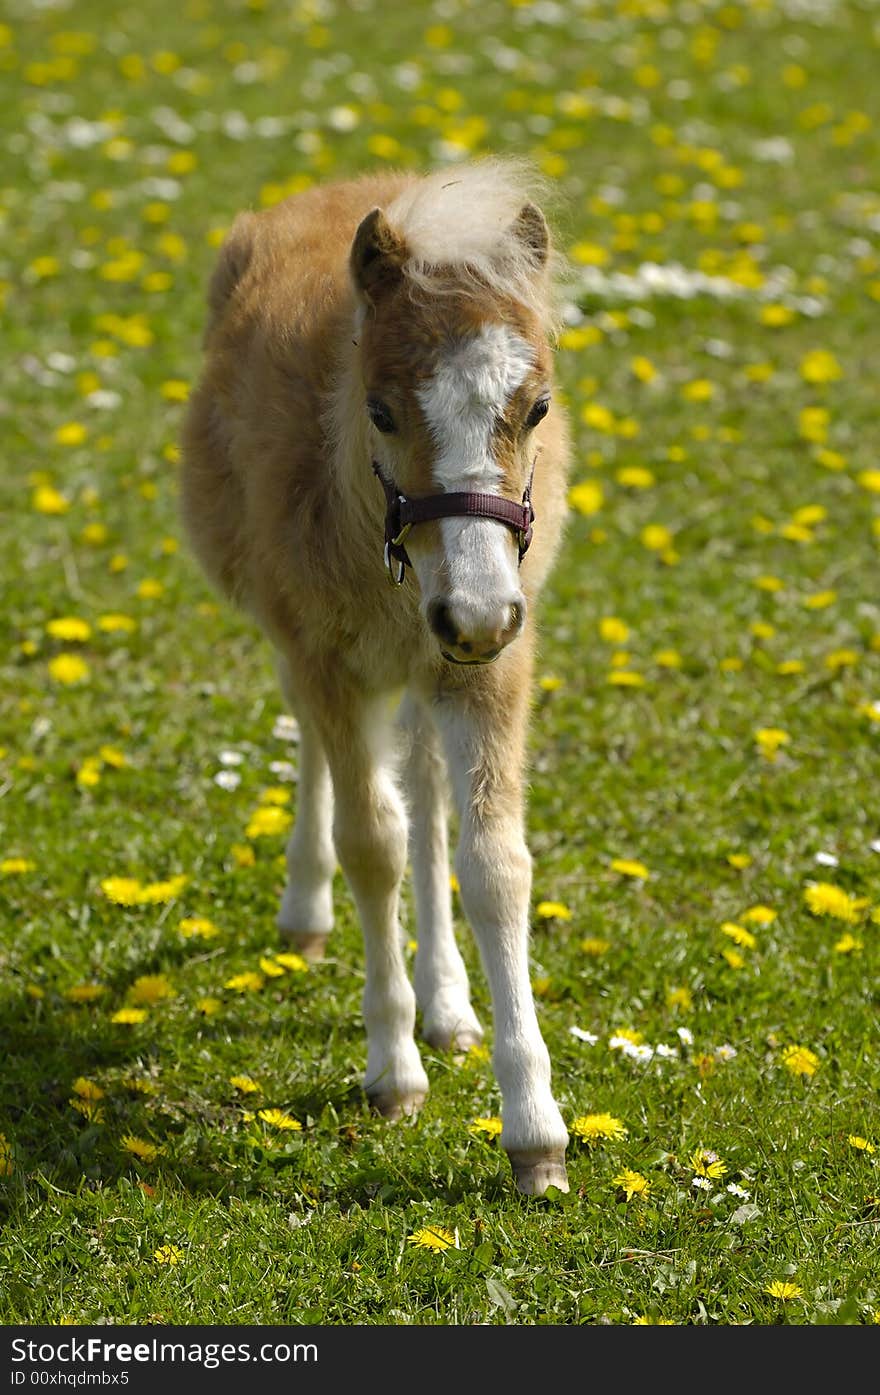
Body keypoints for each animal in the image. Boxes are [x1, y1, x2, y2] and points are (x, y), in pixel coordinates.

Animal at [182, 160, 574, 1188]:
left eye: (537, 408)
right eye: (382, 411)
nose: (473, 613)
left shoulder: (490, 668)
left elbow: (495, 863)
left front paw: (535, 1131)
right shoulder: (325, 654)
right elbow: (371, 841)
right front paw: (393, 1071)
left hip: (434, 670)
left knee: (426, 783)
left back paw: (450, 1002)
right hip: (311, 644)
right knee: (334, 760)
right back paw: (307, 908)